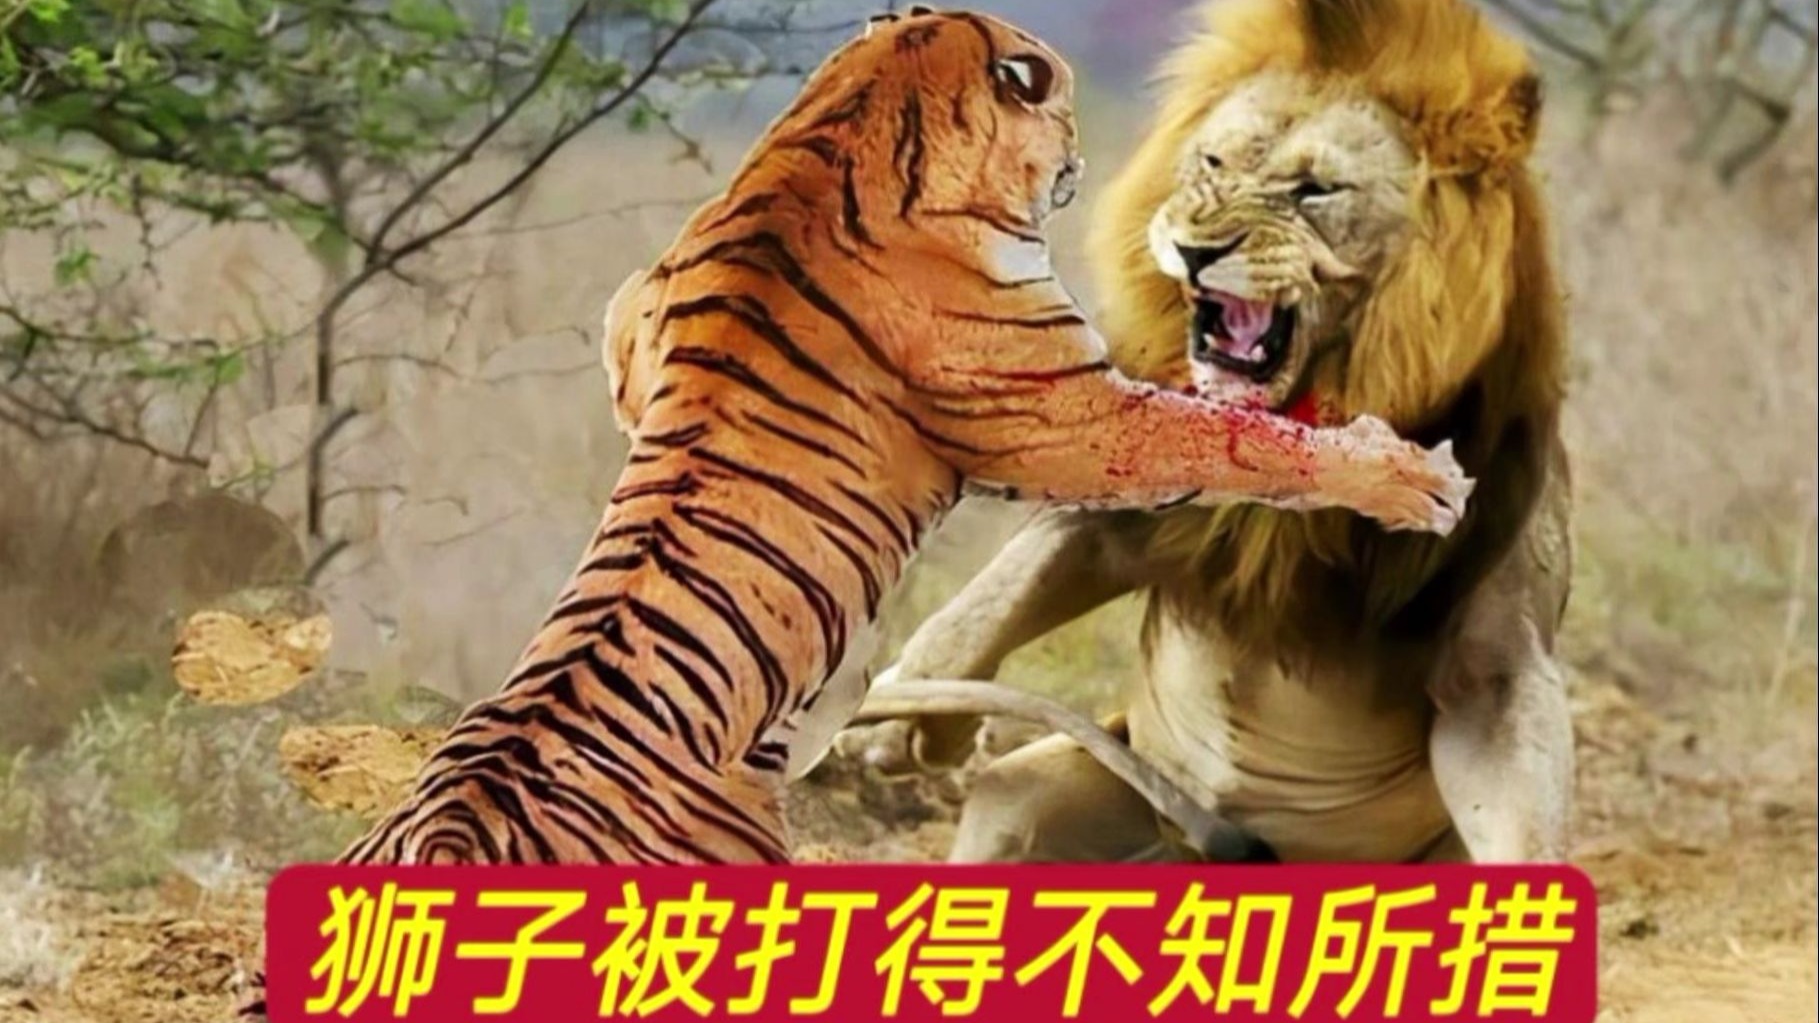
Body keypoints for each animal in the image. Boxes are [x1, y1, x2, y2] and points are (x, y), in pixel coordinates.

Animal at [341, 6, 1472, 867]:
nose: (1083, 156)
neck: (843, 120)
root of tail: (455, 830)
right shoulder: (1073, 415)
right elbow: (1238, 439)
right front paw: (1412, 478)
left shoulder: (635, 317)